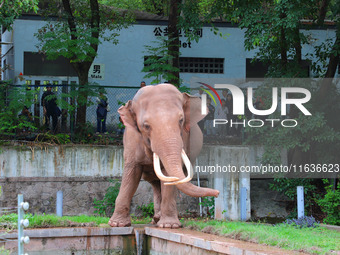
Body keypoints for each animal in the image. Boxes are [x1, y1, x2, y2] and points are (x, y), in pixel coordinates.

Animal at [109, 84, 220, 229]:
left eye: (181, 120)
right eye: (146, 125)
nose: (217, 193)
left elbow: (168, 176)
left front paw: (169, 226)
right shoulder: (131, 140)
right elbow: (131, 173)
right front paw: (117, 224)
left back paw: (159, 219)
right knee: (155, 183)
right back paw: (156, 219)